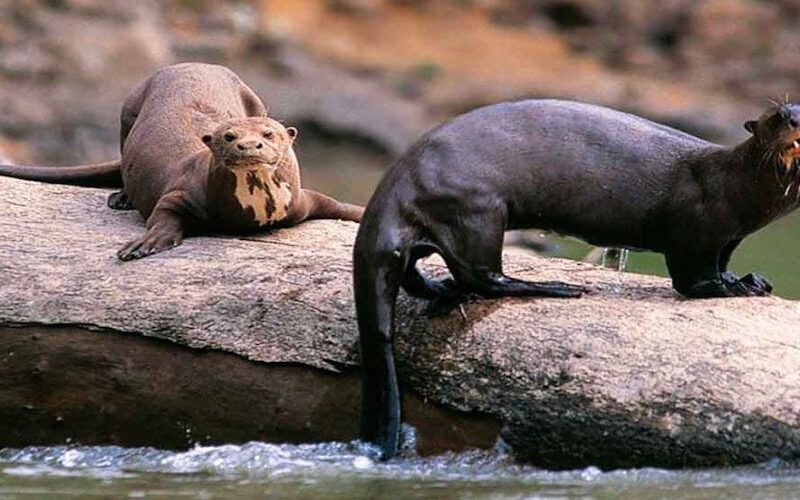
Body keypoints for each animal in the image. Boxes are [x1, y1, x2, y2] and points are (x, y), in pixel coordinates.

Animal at [0, 63, 363, 260]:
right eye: (228, 136)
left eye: (269, 134)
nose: (249, 145)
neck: (255, 212)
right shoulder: (184, 190)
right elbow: (163, 211)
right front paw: (147, 242)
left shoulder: (301, 200)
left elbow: (337, 205)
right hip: (128, 109)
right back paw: (122, 197)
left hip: (254, 97)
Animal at [353, 99, 800, 458]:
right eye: (777, 115)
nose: (794, 117)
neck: (736, 186)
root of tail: (394, 184)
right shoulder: (697, 225)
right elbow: (692, 280)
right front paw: (732, 288)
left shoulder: (729, 237)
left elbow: (722, 262)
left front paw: (750, 280)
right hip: (474, 208)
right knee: (481, 275)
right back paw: (554, 288)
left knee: (419, 273)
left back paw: (441, 290)